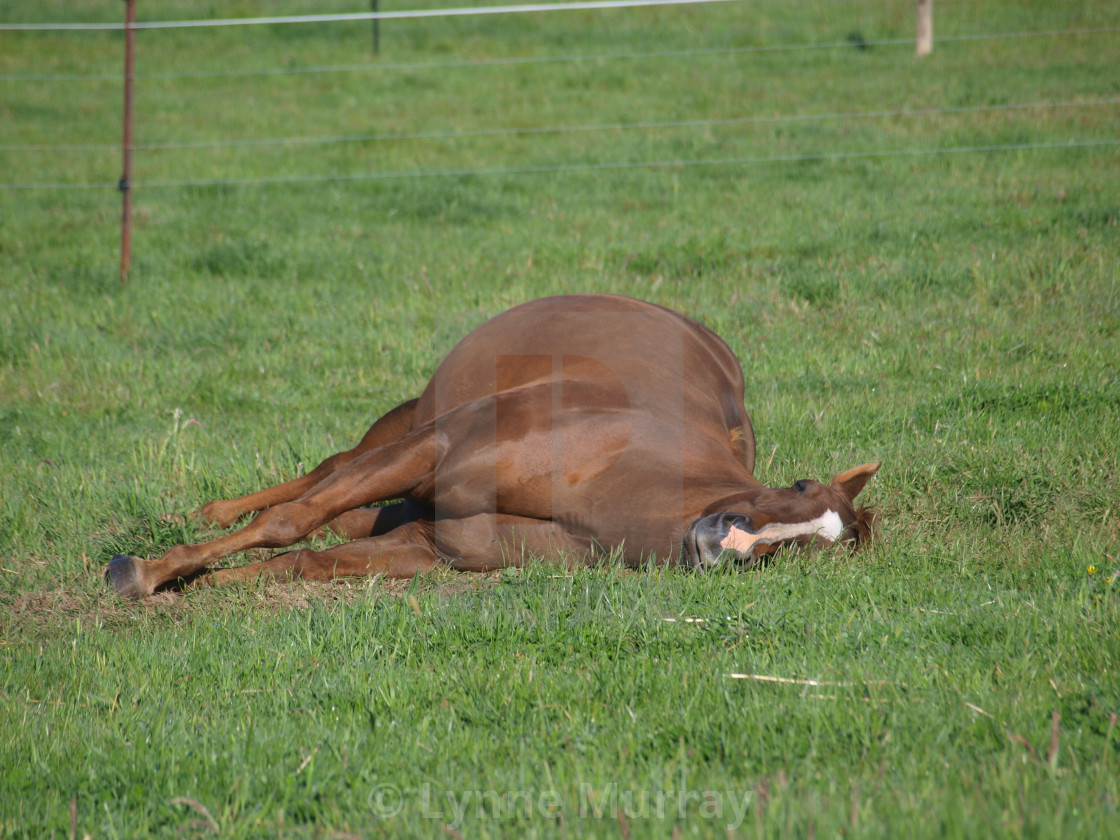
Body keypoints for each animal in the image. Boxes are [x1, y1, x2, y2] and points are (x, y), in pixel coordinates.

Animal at [105, 295, 878, 600]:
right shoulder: (437, 446)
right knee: (322, 476)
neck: (607, 481)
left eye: (798, 552)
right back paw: (196, 516)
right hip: (405, 429)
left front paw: (199, 582)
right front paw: (145, 570)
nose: (727, 538)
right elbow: (289, 523)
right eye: (801, 485)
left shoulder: (432, 544)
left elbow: (310, 560)